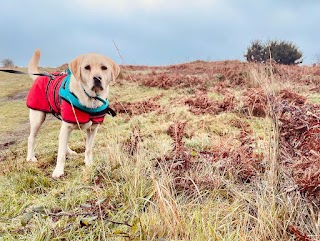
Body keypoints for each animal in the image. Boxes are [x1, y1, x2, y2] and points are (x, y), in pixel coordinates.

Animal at [26, 49, 120, 177]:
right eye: (87, 67)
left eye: (104, 68)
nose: (97, 78)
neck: (91, 98)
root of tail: (39, 78)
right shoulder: (67, 126)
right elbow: (60, 154)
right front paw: (58, 171)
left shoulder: (92, 129)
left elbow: (88, 148)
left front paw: (89, 163)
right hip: (38, 118)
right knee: (31, 138)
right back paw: (30, 158)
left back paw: (69, 151)